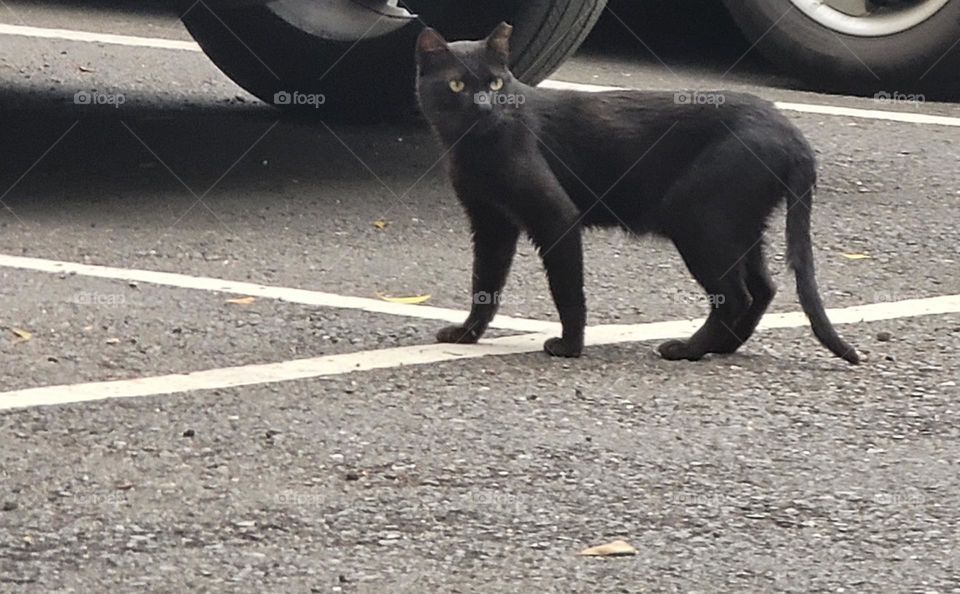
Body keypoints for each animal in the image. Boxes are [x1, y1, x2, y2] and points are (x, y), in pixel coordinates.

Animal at [416, 20, 860, 364]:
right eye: (457, 85)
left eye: (495, 82)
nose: (485, 106)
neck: (476, 148)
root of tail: (793, 135)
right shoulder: (491, 222)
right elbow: (484, 284)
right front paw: (467, 334)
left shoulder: (556, 216)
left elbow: (566, 288)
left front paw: (570, 347)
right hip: (740, 223)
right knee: (762, 288)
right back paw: (722, 348)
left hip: (697, 217)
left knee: (737, 296)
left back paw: (687, 350)